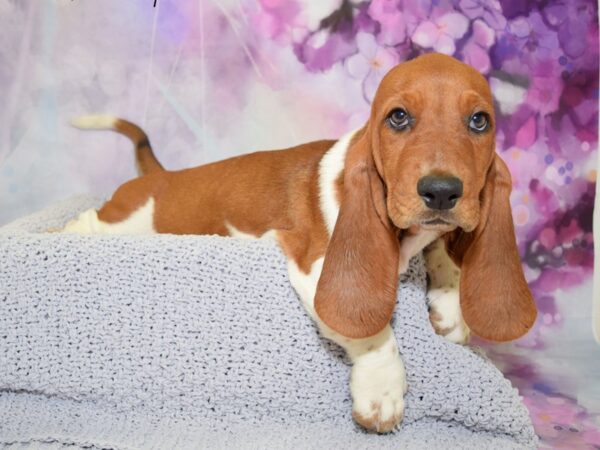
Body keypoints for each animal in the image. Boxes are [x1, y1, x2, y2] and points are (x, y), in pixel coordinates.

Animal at [62, 52, 540, 432]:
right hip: (126, 224)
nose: (441, 191)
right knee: (85, 222)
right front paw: (382, 392)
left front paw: (450, 304)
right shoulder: (316, 266)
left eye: (479, 121)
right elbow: (374, 332)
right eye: (398, 117)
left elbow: (442, 249)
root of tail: (159, 176)